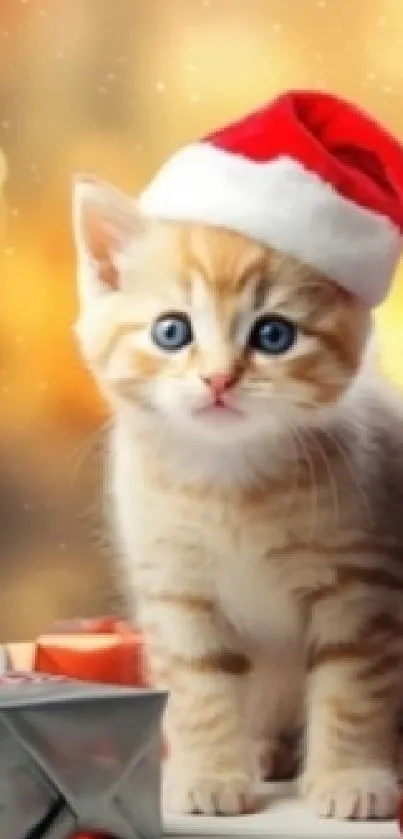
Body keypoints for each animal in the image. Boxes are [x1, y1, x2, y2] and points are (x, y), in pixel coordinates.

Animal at [73, 176, 403, 820]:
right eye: (172, 331)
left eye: (274, 335)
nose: (219, 379)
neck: (229, 482)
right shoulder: (177, 586)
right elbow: (197, 684)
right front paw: (208, 773)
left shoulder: (361, 582)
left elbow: (352, 684)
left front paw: (351, 777)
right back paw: (260, 750)